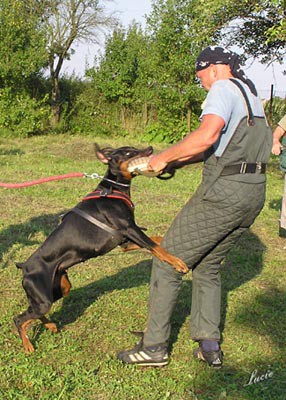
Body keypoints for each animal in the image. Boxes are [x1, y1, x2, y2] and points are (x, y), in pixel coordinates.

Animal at [13, 144, 188, 354]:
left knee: (32, 311)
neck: (112, 189)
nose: (149, 148)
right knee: (19, 319)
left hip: (59, 288)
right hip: (43, 296)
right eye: (128, 152)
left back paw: (51, 325)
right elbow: (154, 245)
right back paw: (28, 345)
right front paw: (177, 262)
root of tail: (24, 266)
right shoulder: (130, 229)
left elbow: (157, 240)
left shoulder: (125, 242)